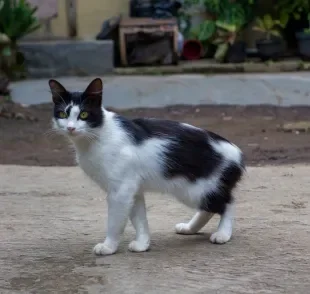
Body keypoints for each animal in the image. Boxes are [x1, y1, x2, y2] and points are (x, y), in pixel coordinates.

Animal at [49, 77, 245, 255]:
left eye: (83, 115)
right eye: (62, 114)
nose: (71, 128)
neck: (97, 135)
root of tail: (237, 152)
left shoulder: (120, 191)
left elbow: (114, 222)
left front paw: (109, 246)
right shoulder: (132, 189)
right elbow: (139, 219)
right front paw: (142, 244)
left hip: (197, 190)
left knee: (228, 203)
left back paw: (223, 234)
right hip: (192, 191)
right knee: (209, 208)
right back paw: (190, 228)